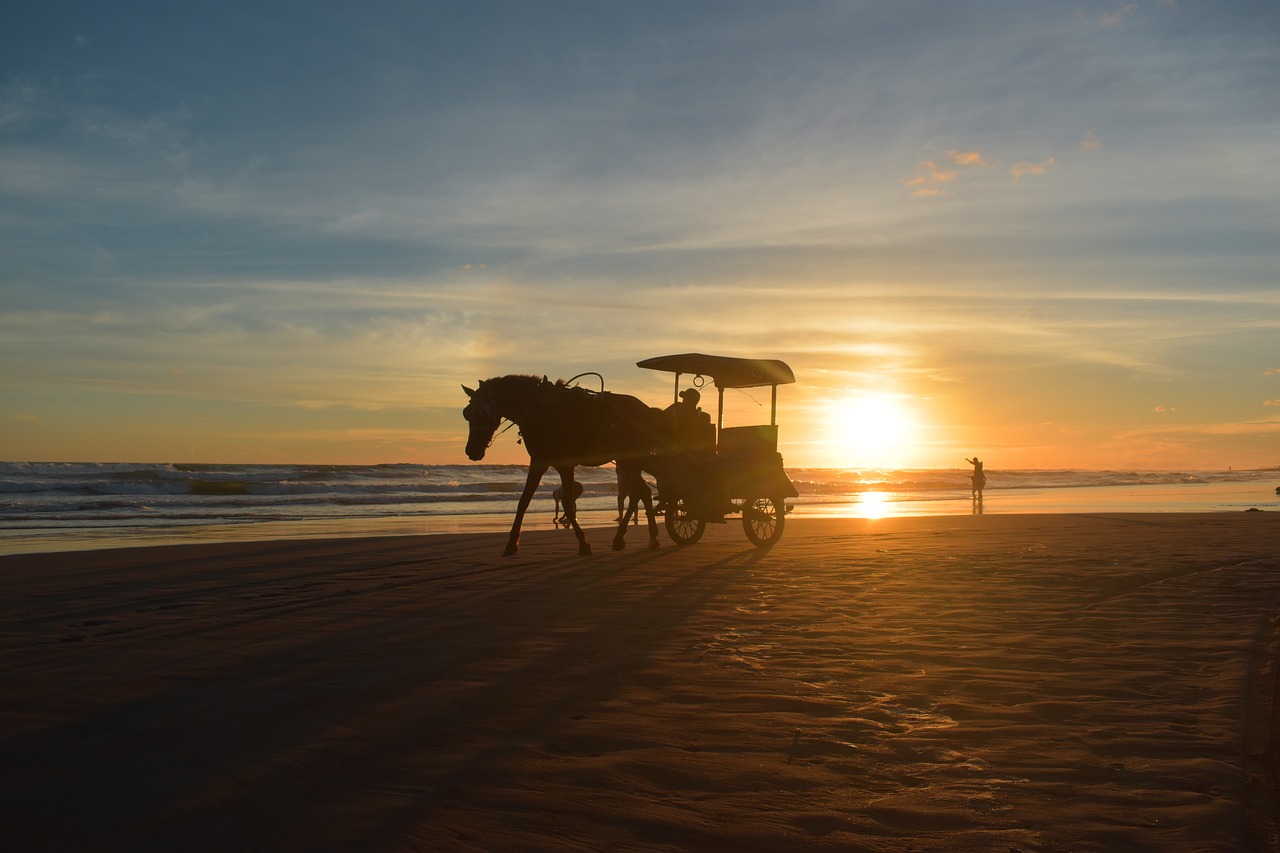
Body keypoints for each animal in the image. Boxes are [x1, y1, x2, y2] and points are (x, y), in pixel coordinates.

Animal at [463, 376, 665, 555]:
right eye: (467, 414)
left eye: (481, 412)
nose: (471, 450)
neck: (542, 411)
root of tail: (647, 410)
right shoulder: (538, 463)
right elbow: (523, 502)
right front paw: (512, 544)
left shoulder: (565, 465)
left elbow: (568, 504)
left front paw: (583, 543)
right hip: (627, 461)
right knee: (642, 492)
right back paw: (643, 537)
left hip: (630, 460)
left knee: (640, 492)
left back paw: (633, 537)